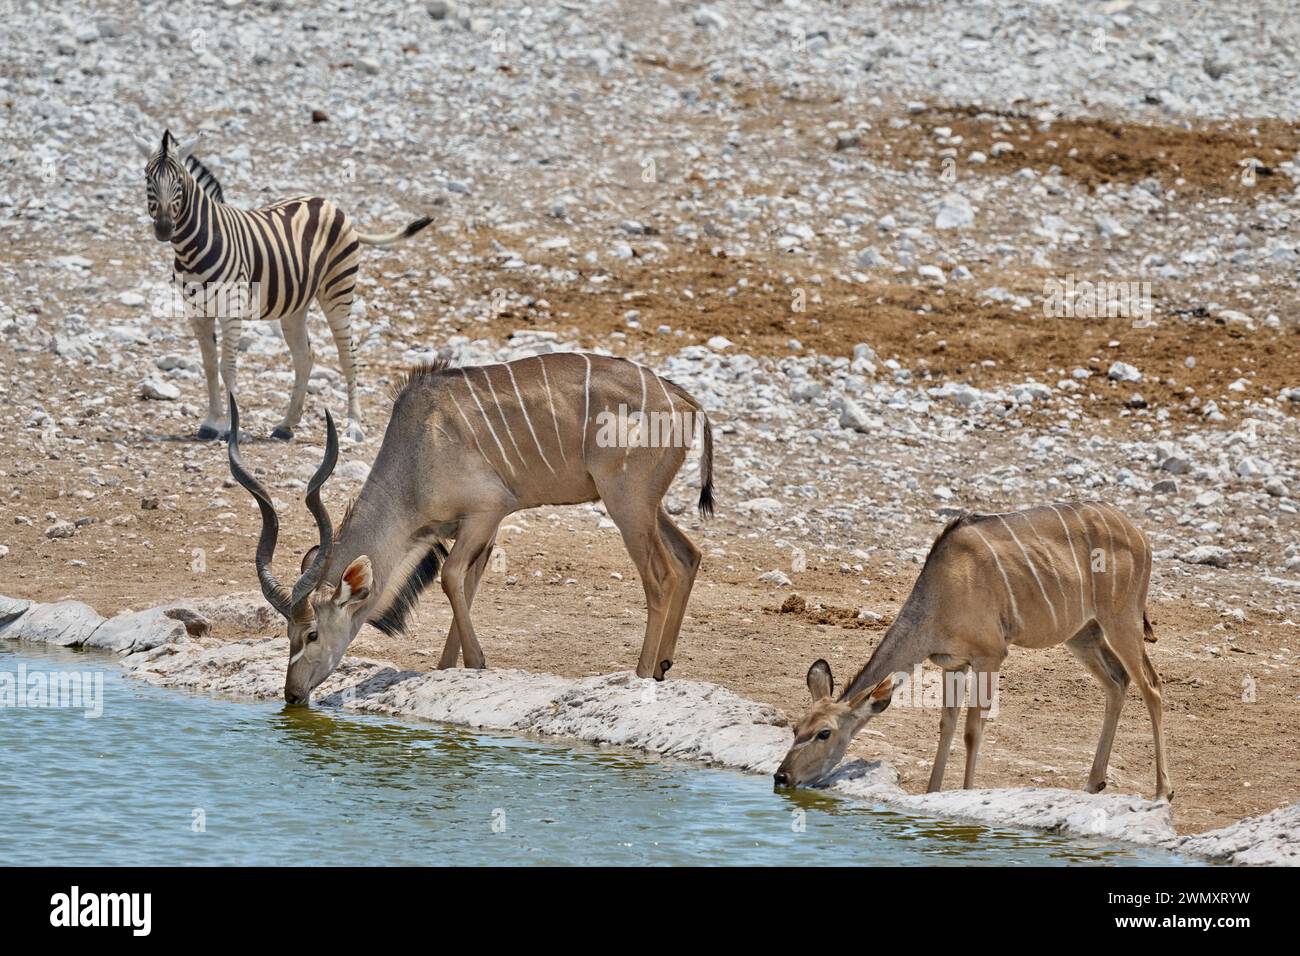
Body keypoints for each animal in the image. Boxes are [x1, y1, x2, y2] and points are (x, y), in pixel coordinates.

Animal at [135, 132, 431, 444]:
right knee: (305, 357)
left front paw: (229, 427)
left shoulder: (231, 309)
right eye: (147, 177)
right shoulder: (197, 312)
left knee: (347, 355)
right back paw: (286, 425)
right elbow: (209, 365)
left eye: (179, 180)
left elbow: (228, 367)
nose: (164, 228)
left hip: (338, 292)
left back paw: (354, 426)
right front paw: (211, 422)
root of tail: (330, 204)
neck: (194, 246)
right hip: (295, 306)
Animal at [223, 351, 712, 702]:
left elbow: (451, 576)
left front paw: (476, 663)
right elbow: (466, 583)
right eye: (285, 634)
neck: (419, 448)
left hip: (626, 504)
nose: (292, 694)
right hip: (646, 507)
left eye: (311, 633)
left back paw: (641, 674)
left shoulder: (487, 512)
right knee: (689, 555)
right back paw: (663, 666)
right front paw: (446, 668)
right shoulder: (477, 531)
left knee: (659, 576)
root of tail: (685, 402)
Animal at [774, 504, 1175, 806]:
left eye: (824, 733)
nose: (781, 776)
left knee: (1152, 685)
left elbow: (971, 729)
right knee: (1117, 682)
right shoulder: (953, 664)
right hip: (1082, 634)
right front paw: (932, 794)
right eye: (795, 727)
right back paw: (1093, 783)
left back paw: (1162, 792)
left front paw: (965, 796)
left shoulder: (990, 656)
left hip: (1121, 621)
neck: (942, 591)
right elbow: (947, 725)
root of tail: (1141, 537)